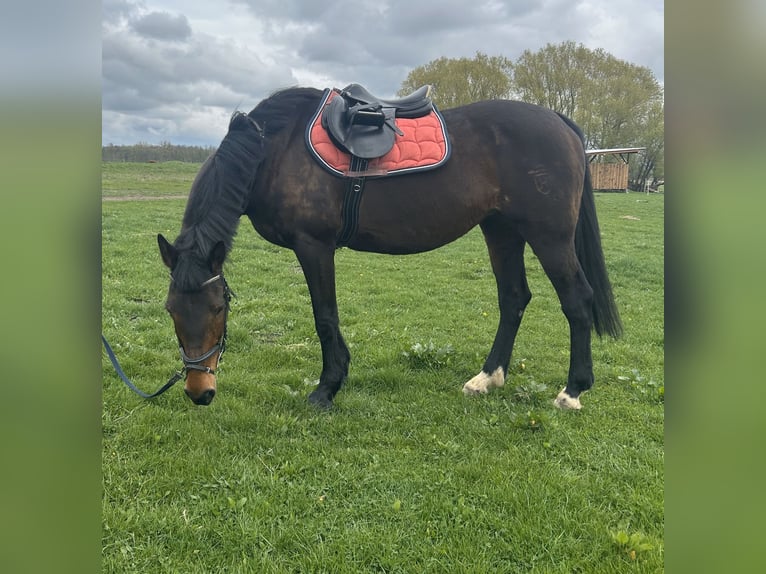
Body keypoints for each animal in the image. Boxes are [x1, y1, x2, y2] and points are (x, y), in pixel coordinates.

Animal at [157, 86, 622, 409]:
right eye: (171, 310)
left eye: (218, 307)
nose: (199, 391)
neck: (273, 150)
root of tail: (560, 123)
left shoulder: (314, 246)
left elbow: (325, 317)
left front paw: (327, 387)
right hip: (502, 231)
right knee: (513, 299)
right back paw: (487, 378)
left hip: (549, 237)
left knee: (577, 300)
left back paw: (573, 390)